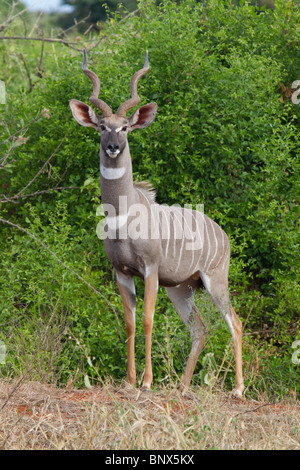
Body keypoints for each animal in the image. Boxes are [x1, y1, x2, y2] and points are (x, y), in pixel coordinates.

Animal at [69, 50, 244, 396]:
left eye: (125, 127)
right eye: (102, 127)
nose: (112, 147)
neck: (123, 218)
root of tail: (223, 234)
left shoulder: (150, 269)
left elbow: (149, 319)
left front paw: (147, 382)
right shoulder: (122, 273)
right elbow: (130, 321)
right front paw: (129, 381)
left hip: (215, 280)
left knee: (235, 322)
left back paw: (239, 389)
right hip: (181, 289)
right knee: (200, 328)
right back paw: (183, 387)